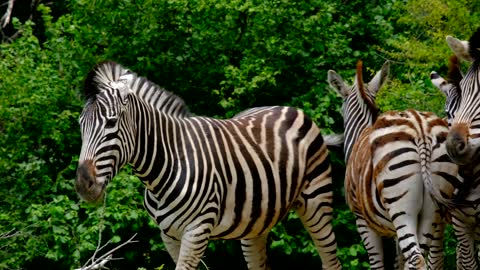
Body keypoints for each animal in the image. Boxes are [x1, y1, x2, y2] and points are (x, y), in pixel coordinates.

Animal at [74, 61, 342, 270]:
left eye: (111, 123)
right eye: (80, 124)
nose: (82, 184)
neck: (168, 162)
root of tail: (288, 108)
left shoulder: (196, 230)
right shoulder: (169, 235)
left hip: (316, 204)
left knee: (331, 261)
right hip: (257, 223)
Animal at [328, 61, 456, 270]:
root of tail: (420, 127)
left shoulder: (362, 221)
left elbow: (377, 263)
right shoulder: (394, 232)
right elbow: (399, 263)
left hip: (402, 209)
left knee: (417, 259)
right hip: (431, 212)